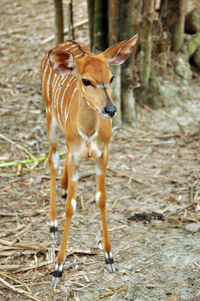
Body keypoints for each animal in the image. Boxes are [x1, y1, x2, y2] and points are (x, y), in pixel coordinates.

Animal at [40, 34, 138, 284]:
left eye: (111, 78)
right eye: (86, 81)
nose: (110, 110)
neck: (88, 132)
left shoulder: (102, 154)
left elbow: (101, 199)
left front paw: (109, 258)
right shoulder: (75, 154)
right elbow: (70, 208)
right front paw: (58, 267)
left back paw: (65, 189)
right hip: (50, 117)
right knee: (52, 160)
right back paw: (52, 224)